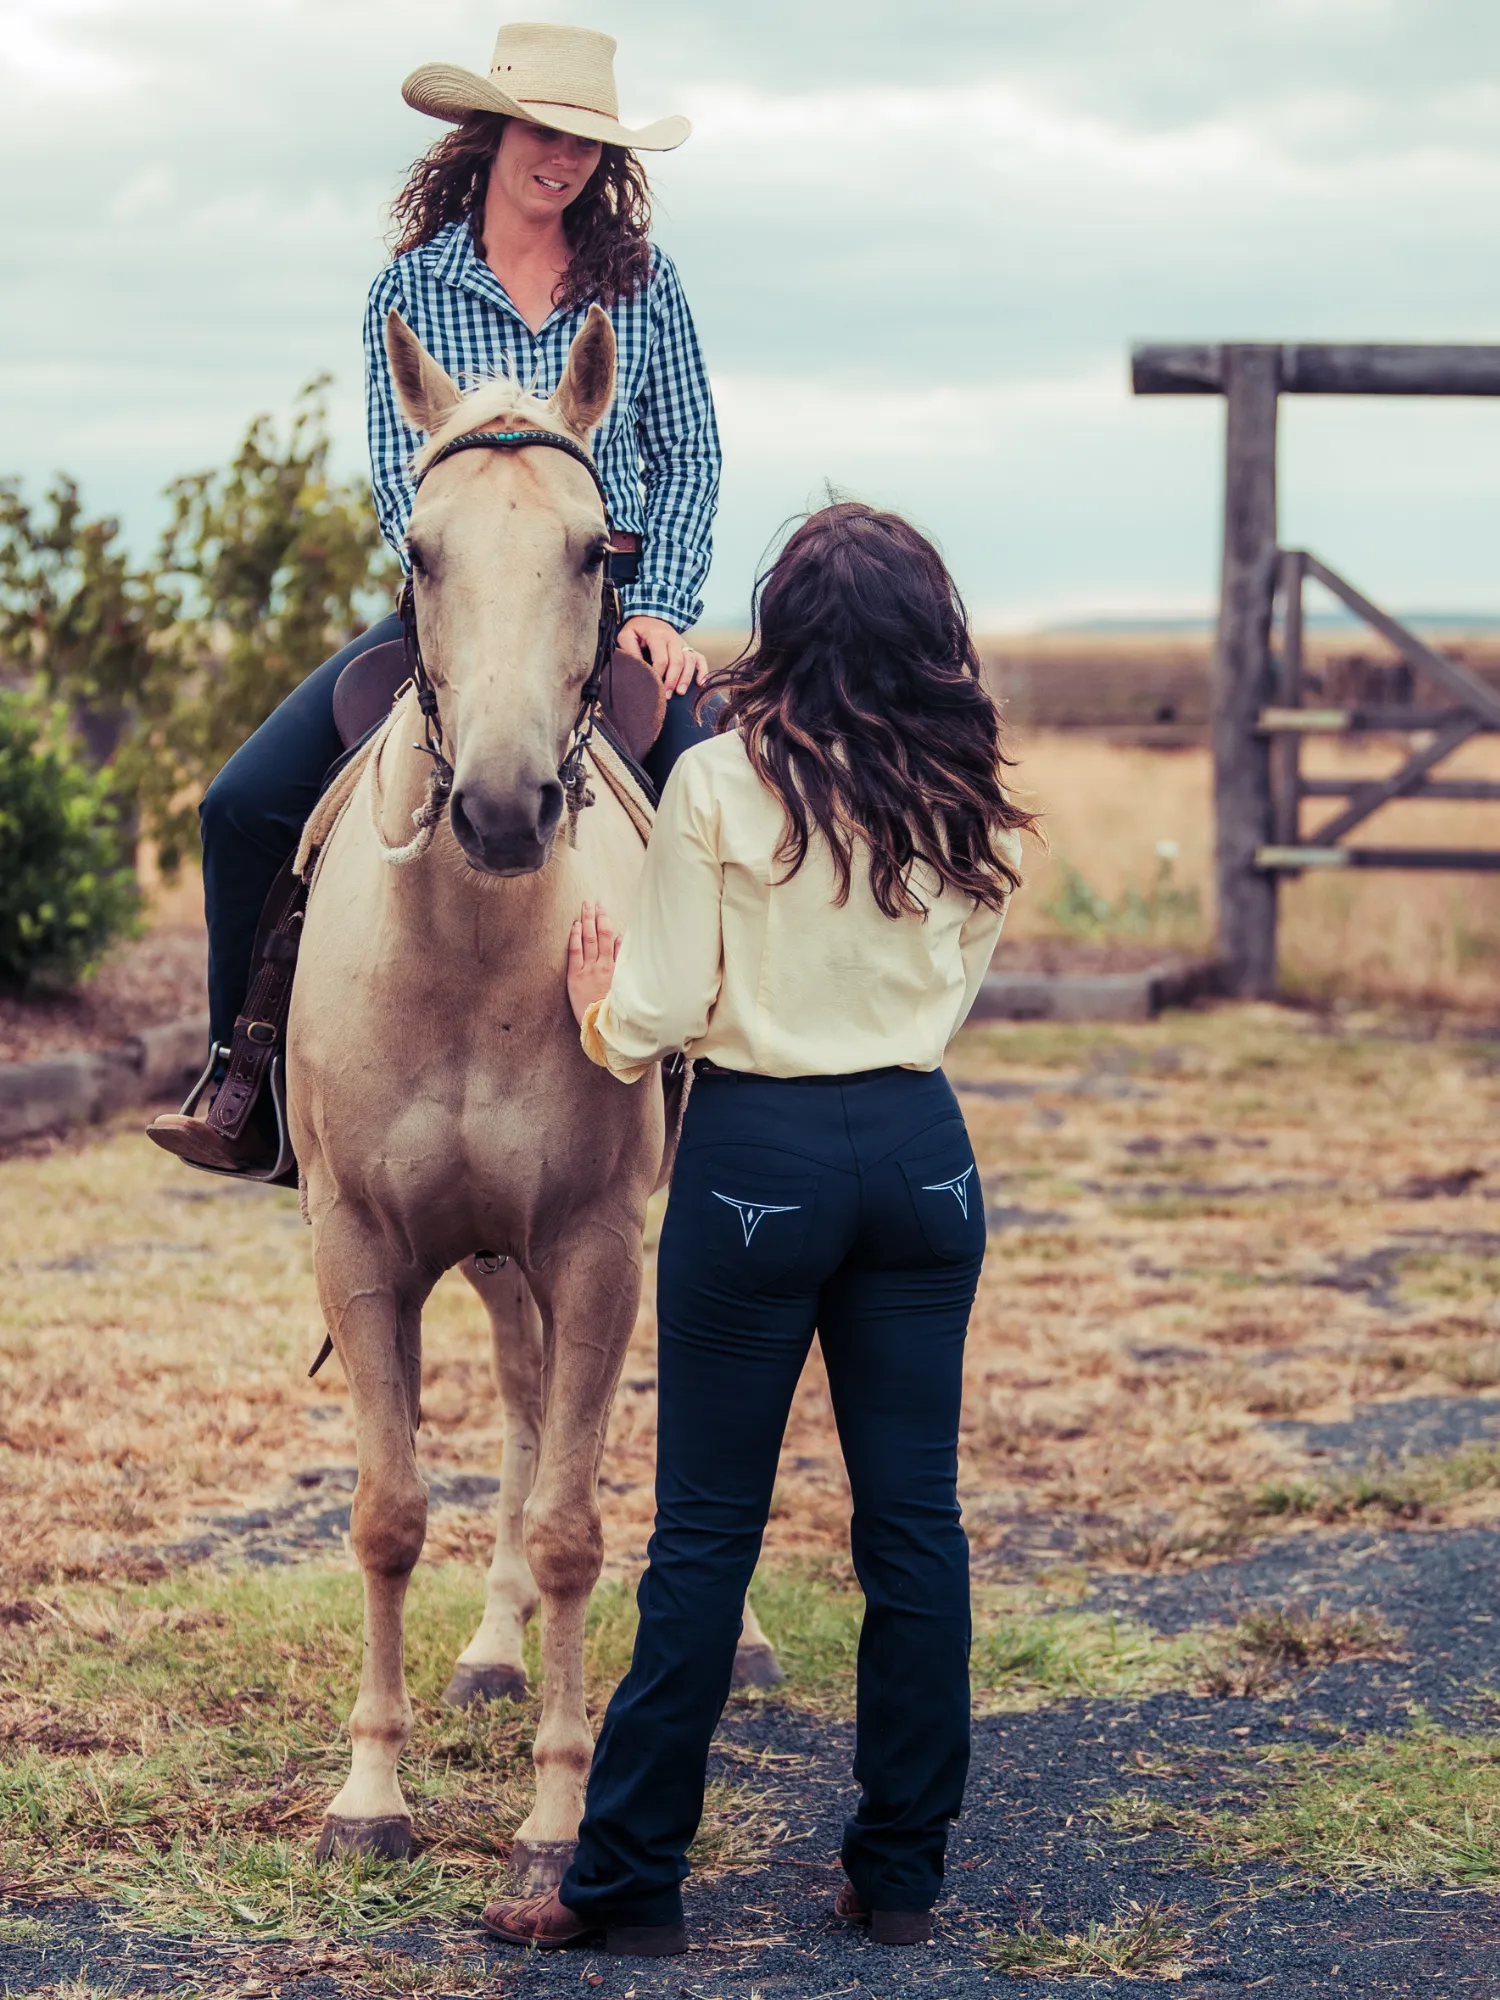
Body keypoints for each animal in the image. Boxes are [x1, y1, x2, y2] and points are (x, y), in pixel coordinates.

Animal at [296, 308, 788, 1888]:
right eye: (422, 548)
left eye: (594, 551)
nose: (506, 809)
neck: (468, 950)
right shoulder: (362, 1246)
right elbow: (391, 1513)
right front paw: (371, 1791)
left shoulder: (593, 1244)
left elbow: (581, 1520)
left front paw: (560, 1814)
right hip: (493, 1258)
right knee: (517, 1401)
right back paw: (495, 1648)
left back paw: (743, 1642)